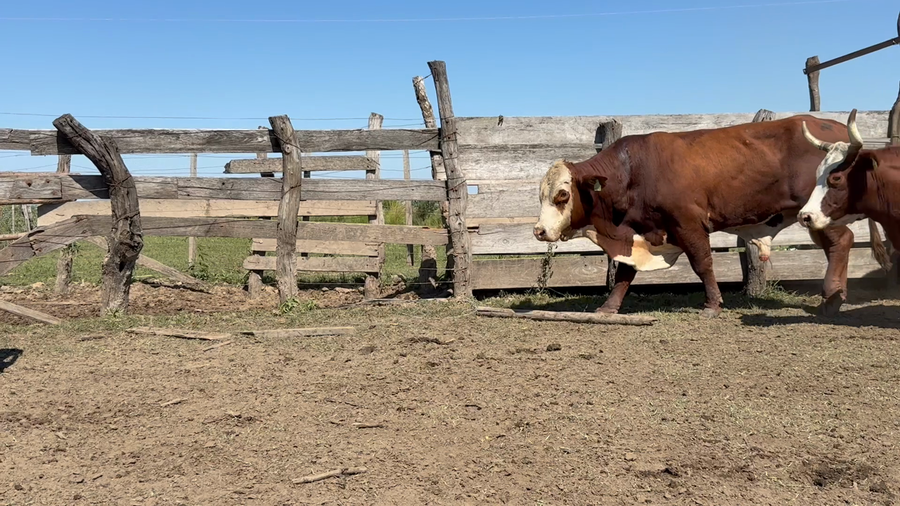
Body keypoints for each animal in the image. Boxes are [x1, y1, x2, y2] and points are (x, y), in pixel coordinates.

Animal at [532, 115, 889, 318]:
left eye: (562, 195)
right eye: (541, 195)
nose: (539, 231)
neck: (633, 171)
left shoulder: (687, 222)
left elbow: (702, 262)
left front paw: (713, 304)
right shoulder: (636, 231)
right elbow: (624, 274)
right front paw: (608, 308)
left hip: (818, 212)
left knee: (841, 243)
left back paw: (831, 299)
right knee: (836, 246)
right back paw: (835, 298)